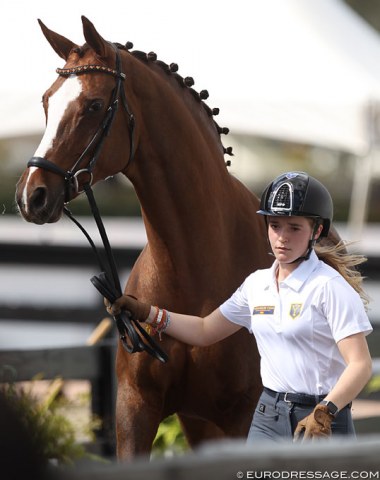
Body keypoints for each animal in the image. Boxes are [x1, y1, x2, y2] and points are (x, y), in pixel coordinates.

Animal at [15, 16, 338, 460]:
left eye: (94, 105)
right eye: (47, 102)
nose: (31, 196)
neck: (194, 268)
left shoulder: (243, 419)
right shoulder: (136, 409)